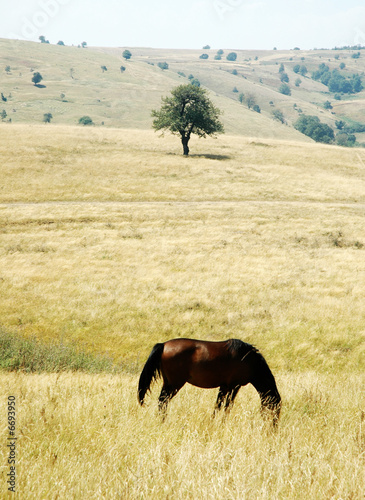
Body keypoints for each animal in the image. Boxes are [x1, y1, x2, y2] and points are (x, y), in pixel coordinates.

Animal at [137, 338, 282, 428]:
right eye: (275, 409)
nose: (274, 428)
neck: (249, 360)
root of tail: (163, 345)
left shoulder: (224, 387)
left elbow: (218, 405)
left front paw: (213, 422)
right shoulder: (234, 386)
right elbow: (227, 407)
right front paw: (222, 423)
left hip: (168, 383)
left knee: (162, 401)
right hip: (175, 384)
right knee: (163, 401)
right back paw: (163, 421)